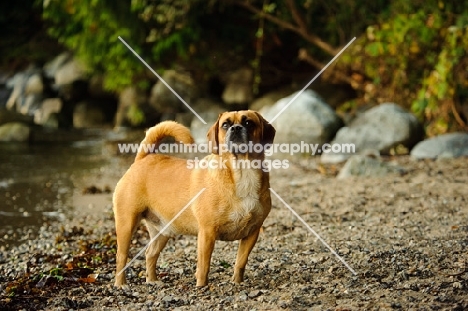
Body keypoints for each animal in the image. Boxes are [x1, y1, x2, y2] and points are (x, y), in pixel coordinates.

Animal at [113, 110, 274, 288]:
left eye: (248, 123)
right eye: (225, 125)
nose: (236, 128)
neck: (242, 171)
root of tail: (143, 158)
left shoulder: (252, 234)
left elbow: (240, 262)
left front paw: (237, 283)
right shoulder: (207, 233)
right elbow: (204, 266)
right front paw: (201, 286)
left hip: (162, 232)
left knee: (151, 254)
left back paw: (152, 281)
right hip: (126, 225)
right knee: (121, 257)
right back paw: (121, 284)